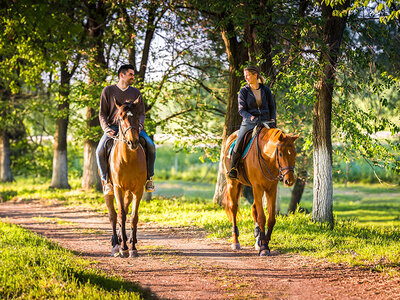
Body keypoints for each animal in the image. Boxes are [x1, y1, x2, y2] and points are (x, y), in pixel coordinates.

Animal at [102, 98, 148, 258]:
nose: (133, 142)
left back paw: (125, 239)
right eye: (121, 118)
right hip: (109, 190)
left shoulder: (138, 190)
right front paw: (123, 248)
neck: (128, 160)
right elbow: (120, 215)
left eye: (136, 116)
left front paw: (133, 248)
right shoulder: (118, 188)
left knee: (126, 211)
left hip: (129, 192)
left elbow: (133, 217)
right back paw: (116, 244)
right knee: (113, 215)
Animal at [223, 126, 298, 255]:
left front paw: (264, 242)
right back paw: (235, 242)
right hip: (233, 183)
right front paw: (264, 248)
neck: (266, 158)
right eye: (281, 154)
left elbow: (271, 218)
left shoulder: (271, 189)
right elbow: (262, 217)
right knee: (233, 209)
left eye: (294, 154)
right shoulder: (257, 187)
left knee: (254, 209)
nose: (290, 180)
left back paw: (257, 239)